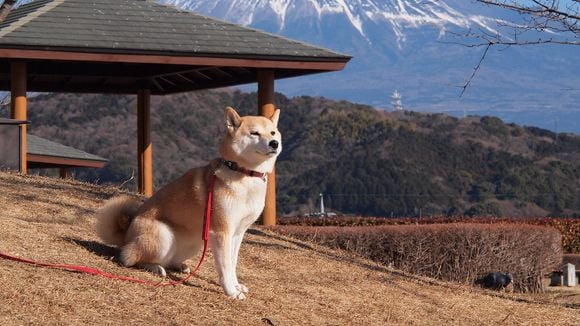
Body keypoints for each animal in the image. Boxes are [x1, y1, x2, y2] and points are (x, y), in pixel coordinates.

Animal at [96, 106, 282, 298]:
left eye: (273, 132)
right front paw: (231, 291)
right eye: (255, 133)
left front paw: (236, 286)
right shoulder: (221, 232)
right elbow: (225, 267)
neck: (244, 173)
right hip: (163, 236)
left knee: (169, 259)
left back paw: (180, 266)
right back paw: (155, 267)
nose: (274, 143)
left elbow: (232, 263)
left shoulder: (238, 233)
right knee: (129, 258)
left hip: (195, 242)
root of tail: (125, 235)